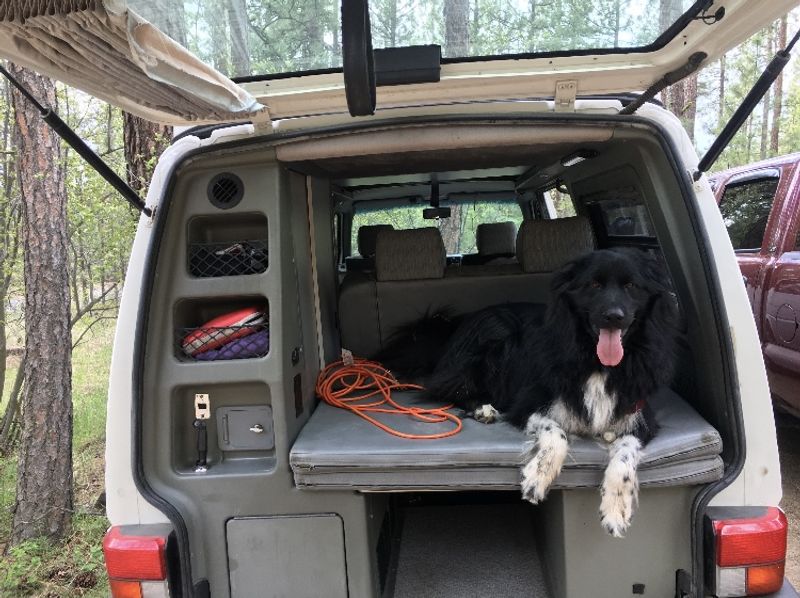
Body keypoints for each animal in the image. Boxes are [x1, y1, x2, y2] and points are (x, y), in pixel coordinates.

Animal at [380, 248, 676, 540]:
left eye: (631, 286)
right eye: (594, 284)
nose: (614, 315)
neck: (596, 363)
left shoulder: (639, 415)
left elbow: (625, 453)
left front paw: (615, 508)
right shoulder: (527, 405)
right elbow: (557, 434)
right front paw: (537, 478)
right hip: (495, 332)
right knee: (451, 387)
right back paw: (483, 408)